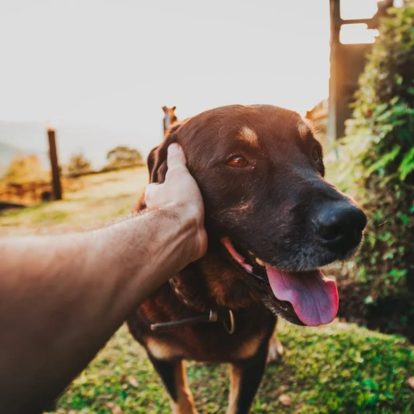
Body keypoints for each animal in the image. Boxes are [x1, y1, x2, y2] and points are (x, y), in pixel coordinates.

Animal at [128, 104, 368, 414]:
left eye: (315, 153)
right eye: (237, 160)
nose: (351, 224)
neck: (210, 306)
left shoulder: (251, 362)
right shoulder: (162, 358)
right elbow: (182, 400)